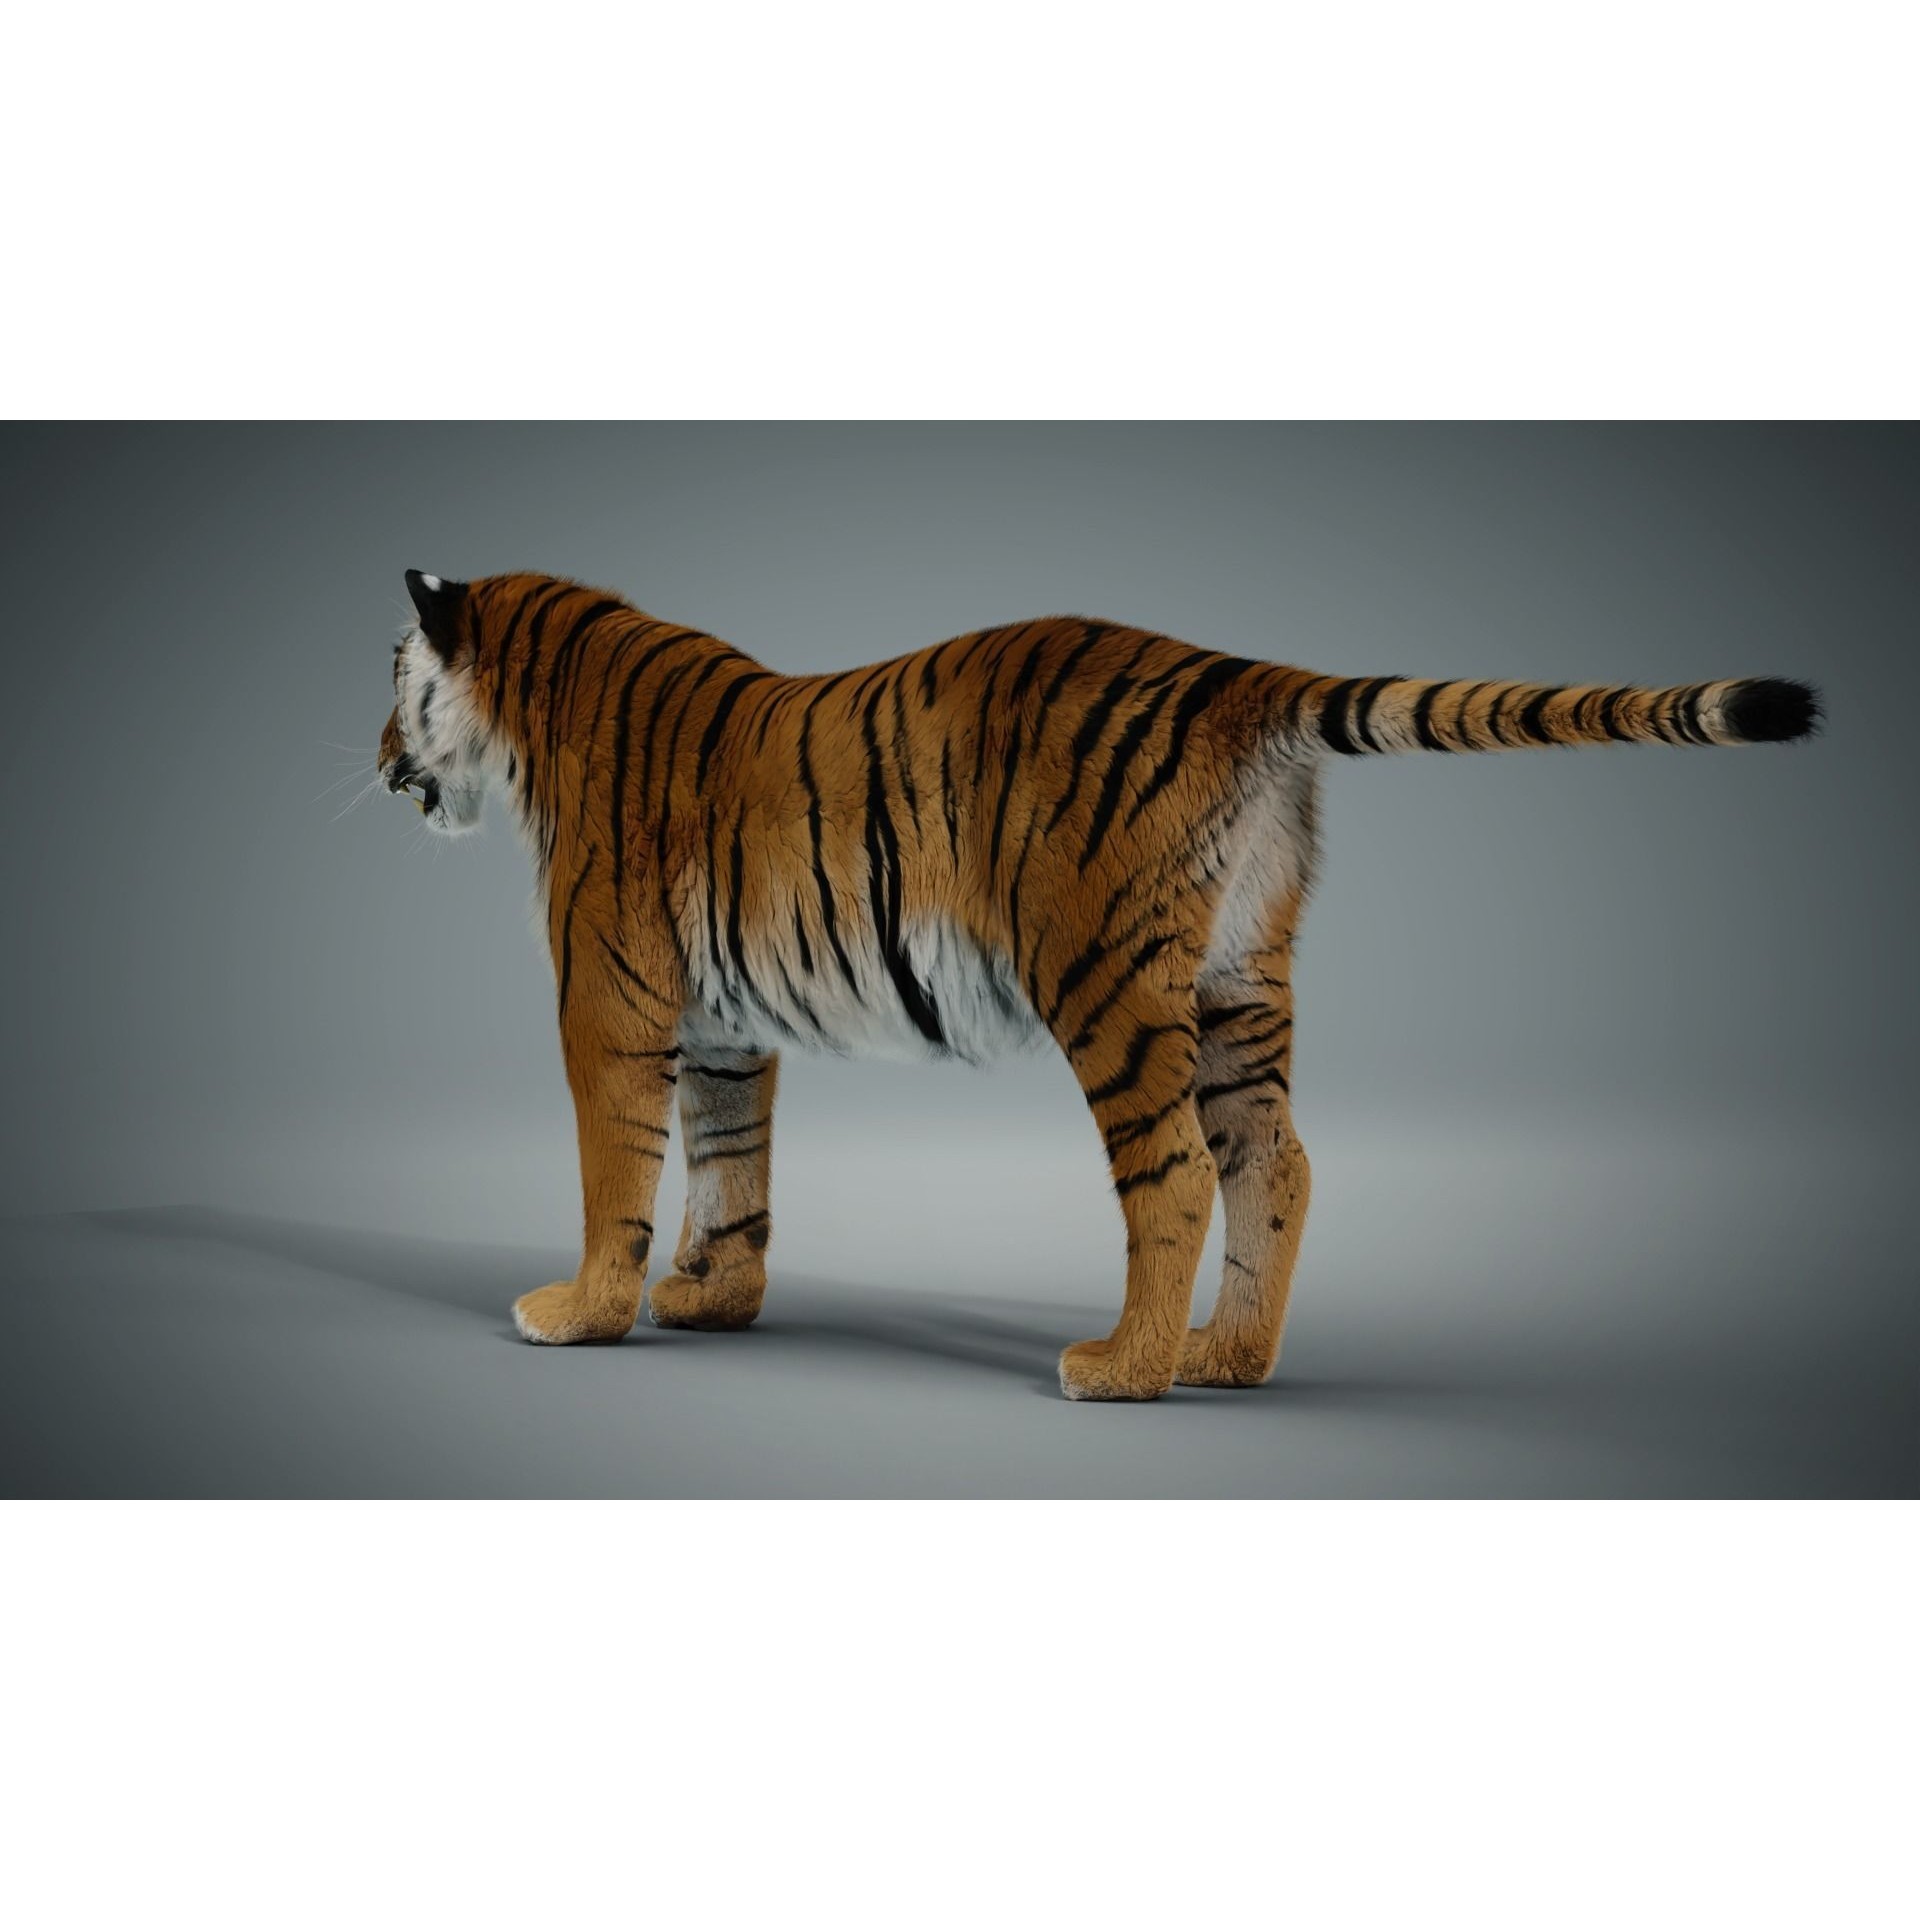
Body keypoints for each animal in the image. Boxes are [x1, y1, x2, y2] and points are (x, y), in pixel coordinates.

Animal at [376, 568, 1819, 1401]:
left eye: (393, 676)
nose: (381, 755)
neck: (536, 718)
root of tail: (1241, 674)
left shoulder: (611, 1004)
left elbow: (615, 1167)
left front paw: (579, 1315)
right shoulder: (726, 1023)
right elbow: (731, 1171)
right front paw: (709, 1302)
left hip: (1107, 981)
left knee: (1174, 1170)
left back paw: (1126, 1368)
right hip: (1242, 982)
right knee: (1276, 1160)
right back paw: (1225, 1359)